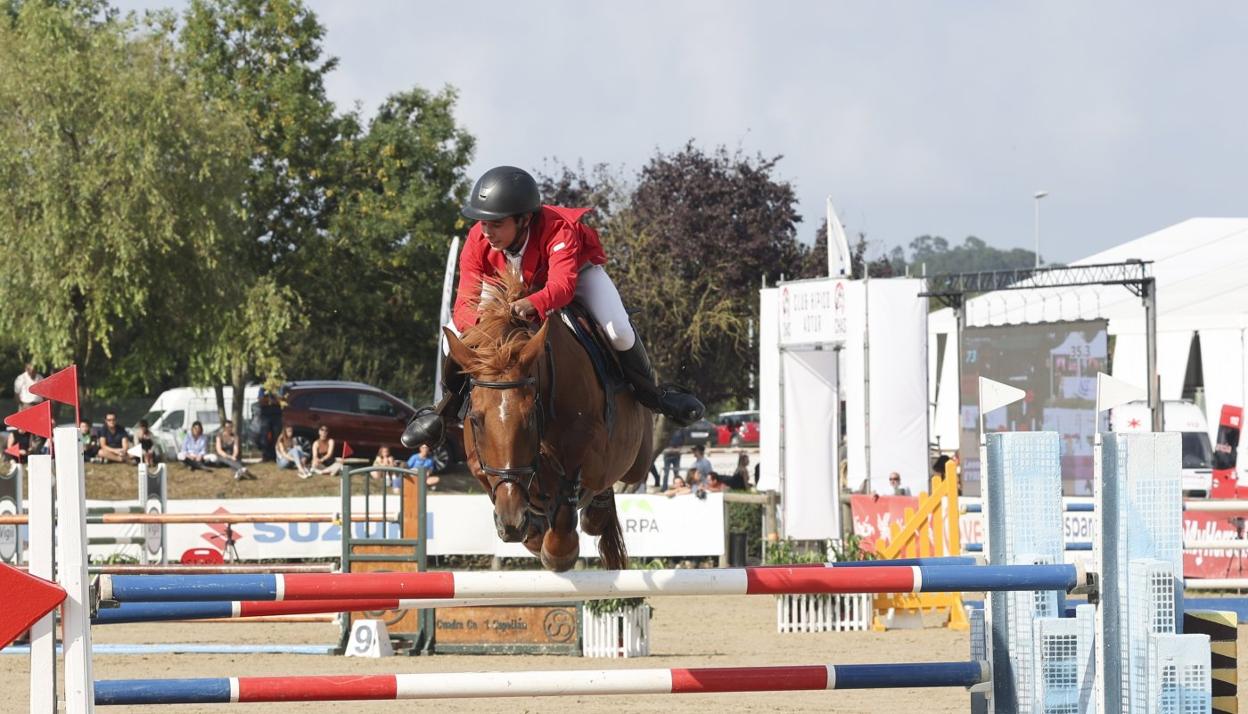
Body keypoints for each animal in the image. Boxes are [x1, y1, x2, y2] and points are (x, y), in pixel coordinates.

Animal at [441, 270, 653, 571]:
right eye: (476, 419)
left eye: (531, 416)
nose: (511, 522)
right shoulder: (478, 460)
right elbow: (493, 482)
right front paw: (528, 528)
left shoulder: (592, 452)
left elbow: (568, 500)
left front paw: (558, 550)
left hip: (639, 460)